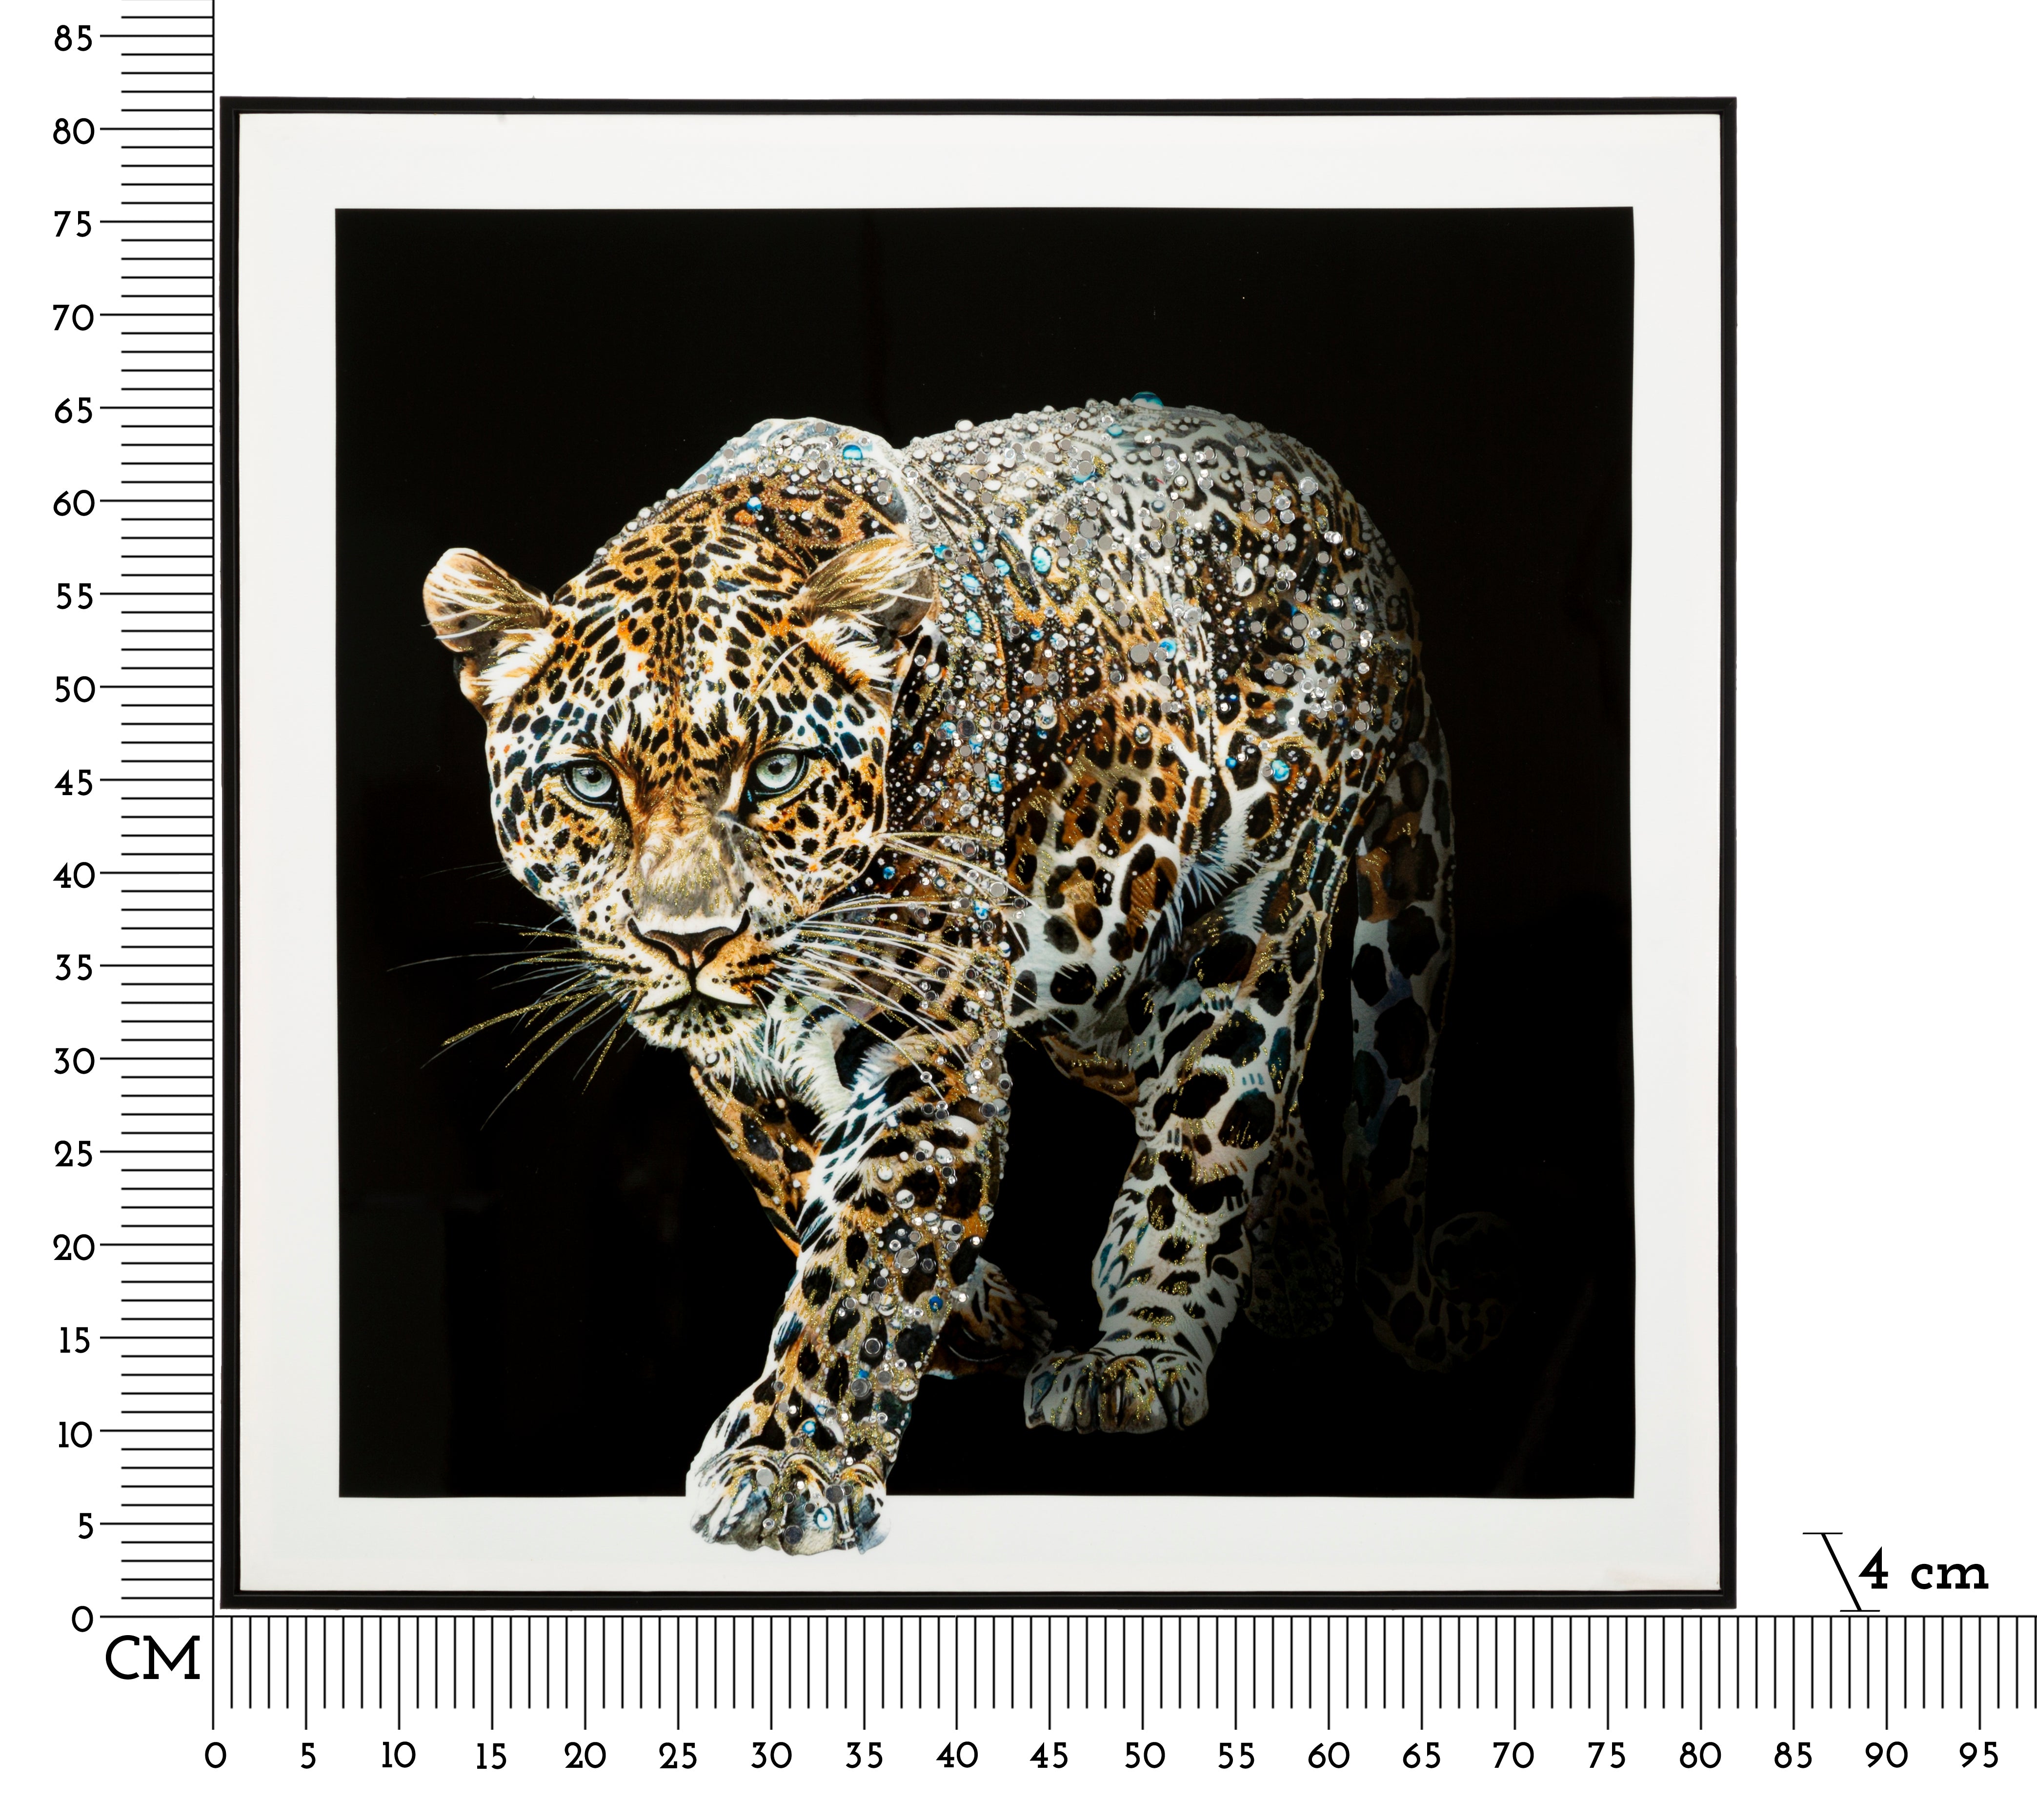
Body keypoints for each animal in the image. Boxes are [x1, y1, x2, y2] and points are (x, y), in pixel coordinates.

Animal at [423, 396, 1504, 1556]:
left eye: (776, 772)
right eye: (591, 782)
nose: (690, 939)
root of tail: (1354, 517)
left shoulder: (931, 1050)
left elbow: (866, 1250)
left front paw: (786, 1463)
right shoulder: (741, 1071)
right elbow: (798, 1182)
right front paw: (980, 1320)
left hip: (1261, 900)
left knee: (1215, 1116)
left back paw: (1141, 1351)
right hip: (1099, 969)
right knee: (1252, 1103)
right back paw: (1295, 1274)